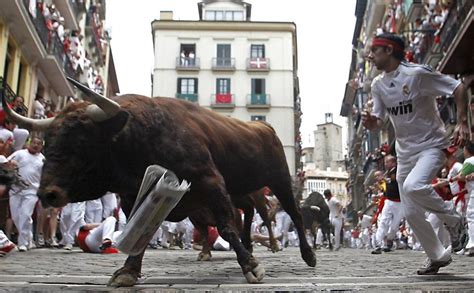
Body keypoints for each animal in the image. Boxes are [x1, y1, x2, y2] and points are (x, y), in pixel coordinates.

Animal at [3, 77, 316, 286]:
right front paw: (128, 271)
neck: (140, 135)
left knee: (294, 215)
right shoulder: (137, 197)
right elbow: (140, 232)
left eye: (81, 142)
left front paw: (251, 266)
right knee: (251, 215)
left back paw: (307, 254)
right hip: (245, 191)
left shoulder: (211, 183)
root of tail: (264, 127)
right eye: (47, 143)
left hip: (279, 180)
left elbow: (227, 228)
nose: (49, 194)